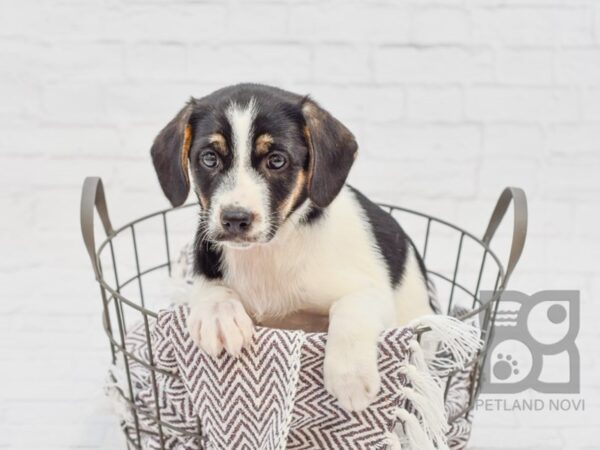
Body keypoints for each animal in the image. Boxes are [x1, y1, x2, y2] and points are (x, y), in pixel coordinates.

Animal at [150, 83, 436, 412]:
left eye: (276, 160)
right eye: (209, 158)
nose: (235, 219)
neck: (270, 252)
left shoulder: (372, 291)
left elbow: (349, 308)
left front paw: (350, 375)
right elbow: (209, 289)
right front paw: (220, 316)